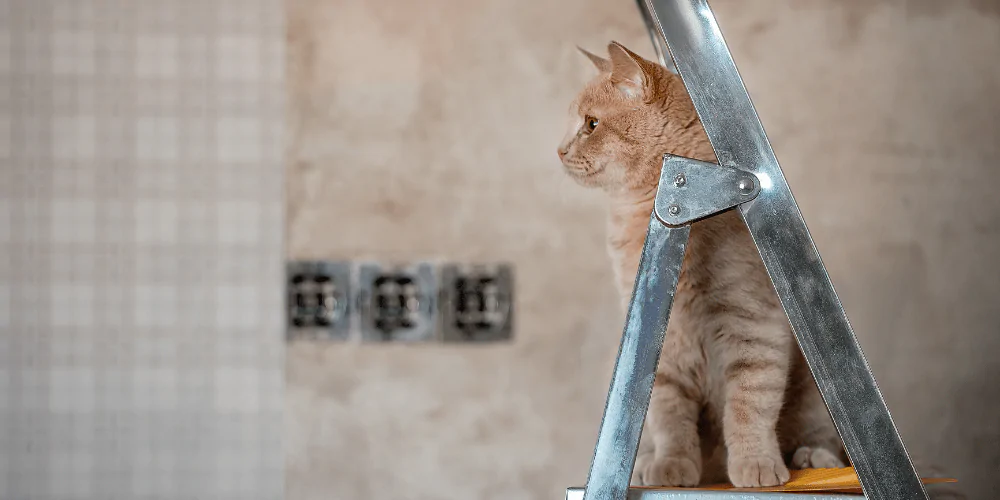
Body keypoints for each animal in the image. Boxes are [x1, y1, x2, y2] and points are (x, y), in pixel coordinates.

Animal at [556, 40, 852, 488]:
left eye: (591, 124)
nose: (559, 150)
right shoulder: (665, 341)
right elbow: (668, 416)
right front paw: (671, 467)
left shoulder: (753, 323)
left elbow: (749, 402)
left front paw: (755, 464)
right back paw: (644, 465)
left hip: (815, 391)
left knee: (821, 437)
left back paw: (813, 459)